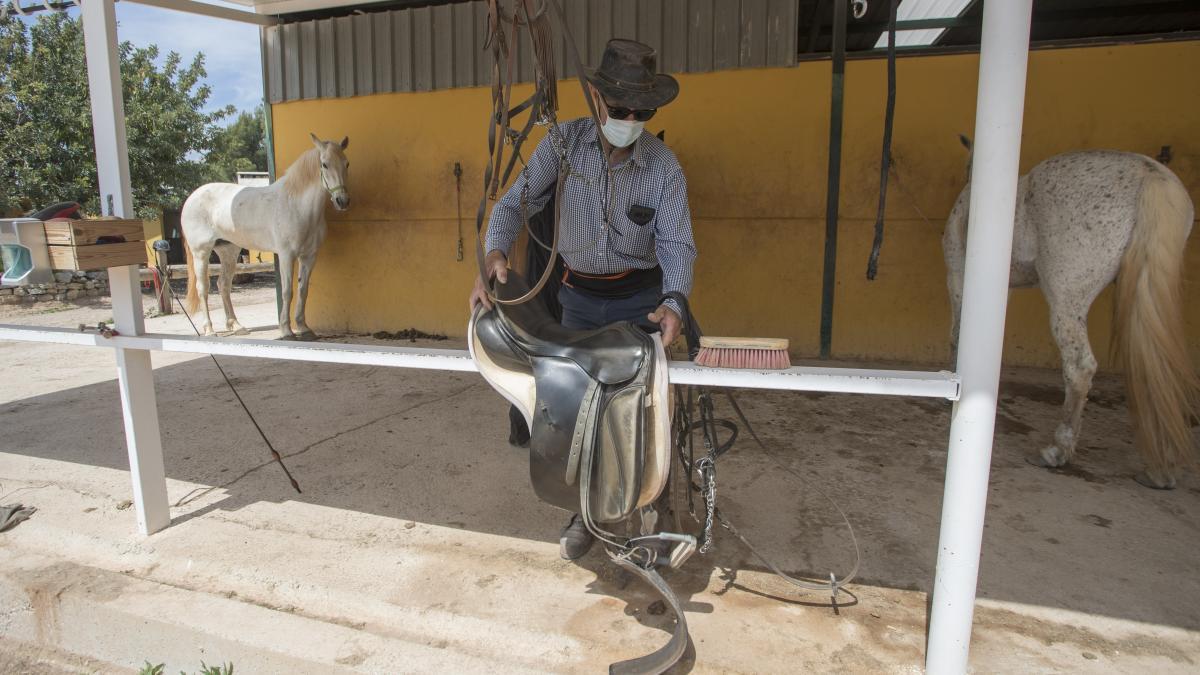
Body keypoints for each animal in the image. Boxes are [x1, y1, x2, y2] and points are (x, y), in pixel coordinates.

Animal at [180, 133, 350, 338]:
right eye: (324, 164)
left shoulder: (309, 256)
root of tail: (191, 197)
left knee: (224, 285)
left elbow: (303, 290)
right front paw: (286, 330)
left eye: (346, 163)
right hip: (201, 252)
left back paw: (236, 325)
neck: (297, 206)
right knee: (203, 288)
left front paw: (303, 328)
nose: (342, 201)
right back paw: (210, 330)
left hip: (228, 251)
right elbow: (287, 291)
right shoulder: (286, 255)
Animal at [945, 142, 1200, 487]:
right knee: (1156, 367)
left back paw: (1056, 451)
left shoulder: (959, 277)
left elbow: (958, 334)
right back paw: (1162, 467)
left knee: (1079, 366)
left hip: (1067, 297)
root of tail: (1150, 175)